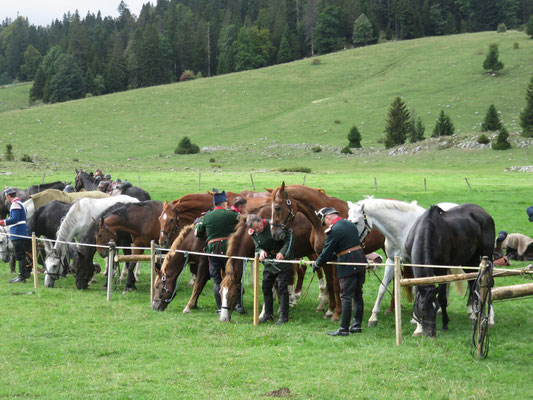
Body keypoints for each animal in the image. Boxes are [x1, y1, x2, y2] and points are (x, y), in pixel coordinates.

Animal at [268, 183, 384, 320]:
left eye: (277, 207)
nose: (274, 234)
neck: (322, 224)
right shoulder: (323, 257)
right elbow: (330, 283)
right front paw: (330, 310)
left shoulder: (335, 259)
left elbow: (336, 285)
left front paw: (337, 312)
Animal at [348, 197, 460, 334]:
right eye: (347, 219)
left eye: (356, 222)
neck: (403, 228)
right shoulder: (391, 261)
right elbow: (382, 288)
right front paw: (373, 318)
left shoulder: (414, 263)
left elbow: (416, 290)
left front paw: (417, 323)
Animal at [404, 203, 494, 338]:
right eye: (423, 308)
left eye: (436, 308)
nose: (431, 333)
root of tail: (484, 213)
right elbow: (417, 295)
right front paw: (418, 328)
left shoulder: (442, 270)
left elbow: (442, 298)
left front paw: (445, 323)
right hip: (469, 262)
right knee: (473, 283)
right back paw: (474, 314)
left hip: (486, 257)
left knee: (489, 284)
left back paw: (490, 318)